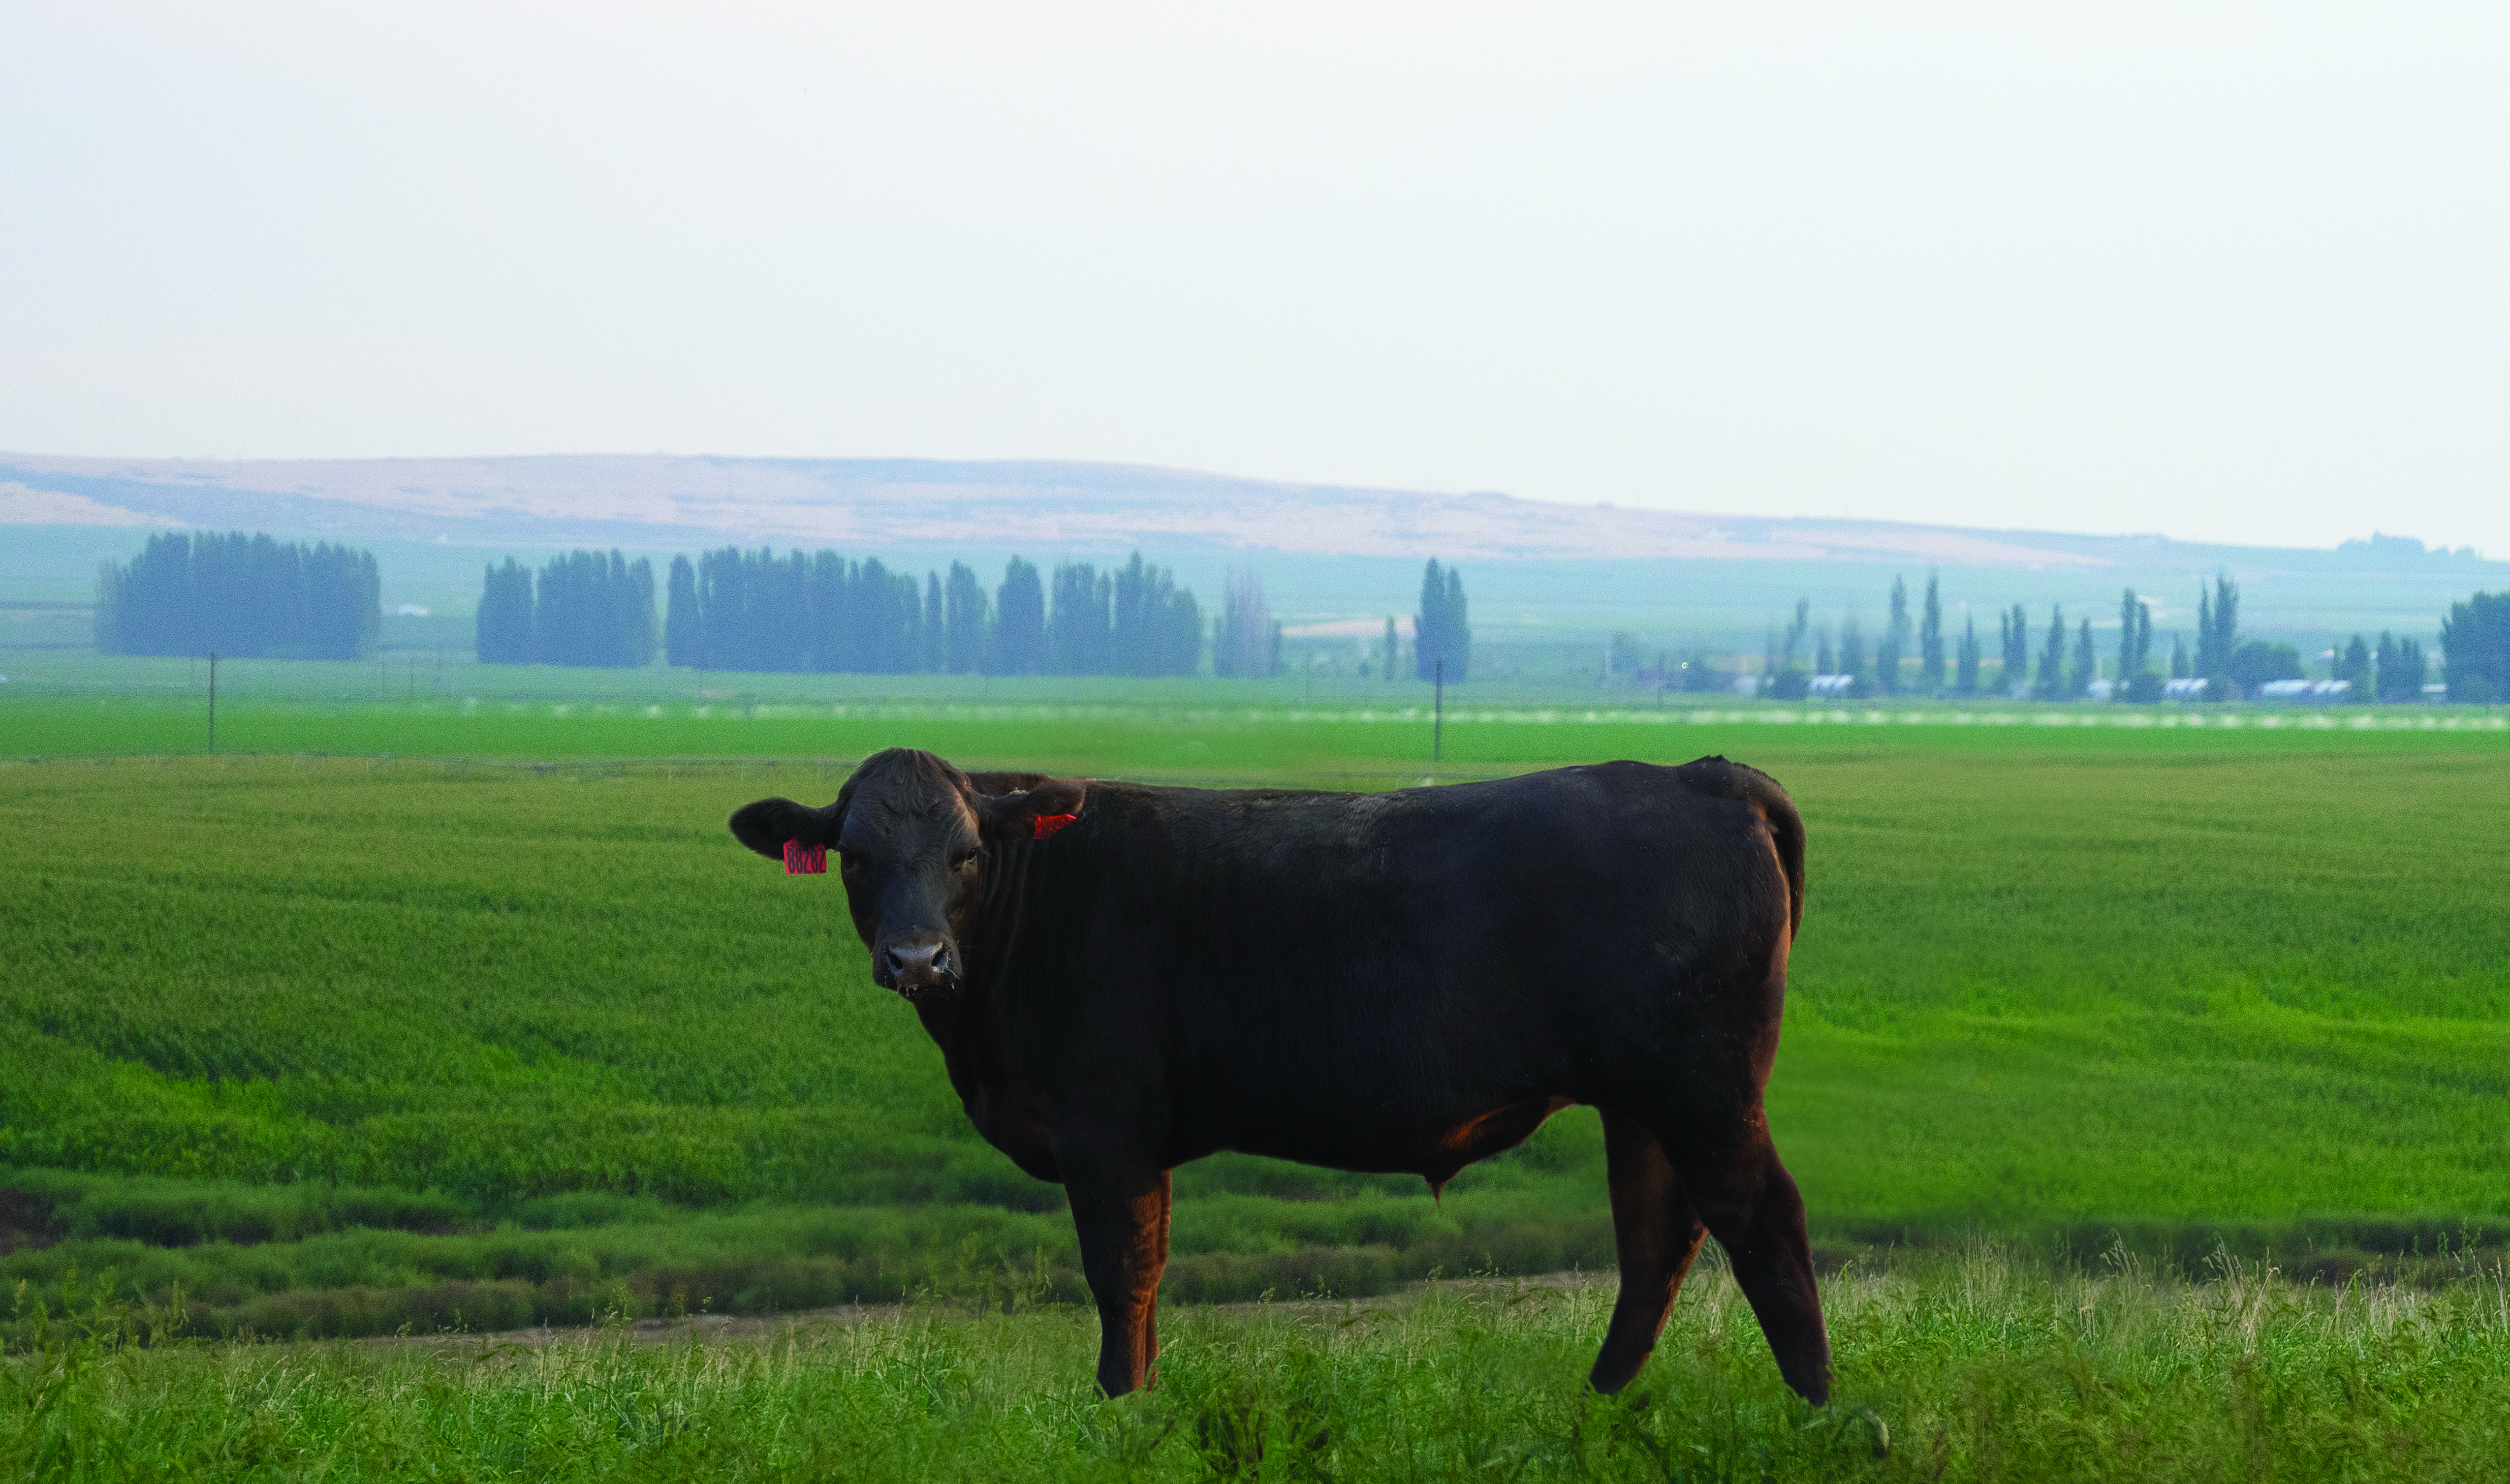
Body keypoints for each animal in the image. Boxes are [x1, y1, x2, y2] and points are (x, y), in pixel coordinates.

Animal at [729, 748, 1830, 1403]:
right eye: (855, 855)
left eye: (964, 852)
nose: (917, 958)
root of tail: (1700, 773)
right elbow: (1149, 1270)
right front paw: (1144, 1401)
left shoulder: (1104, 1124)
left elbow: (1119, 1270)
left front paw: (1117, 1406)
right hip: (1643, 1100)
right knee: (1659, 1237)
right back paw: (1598, 1399)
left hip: (1703, 1088)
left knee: (1763, 1219)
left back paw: (1815, 1407)